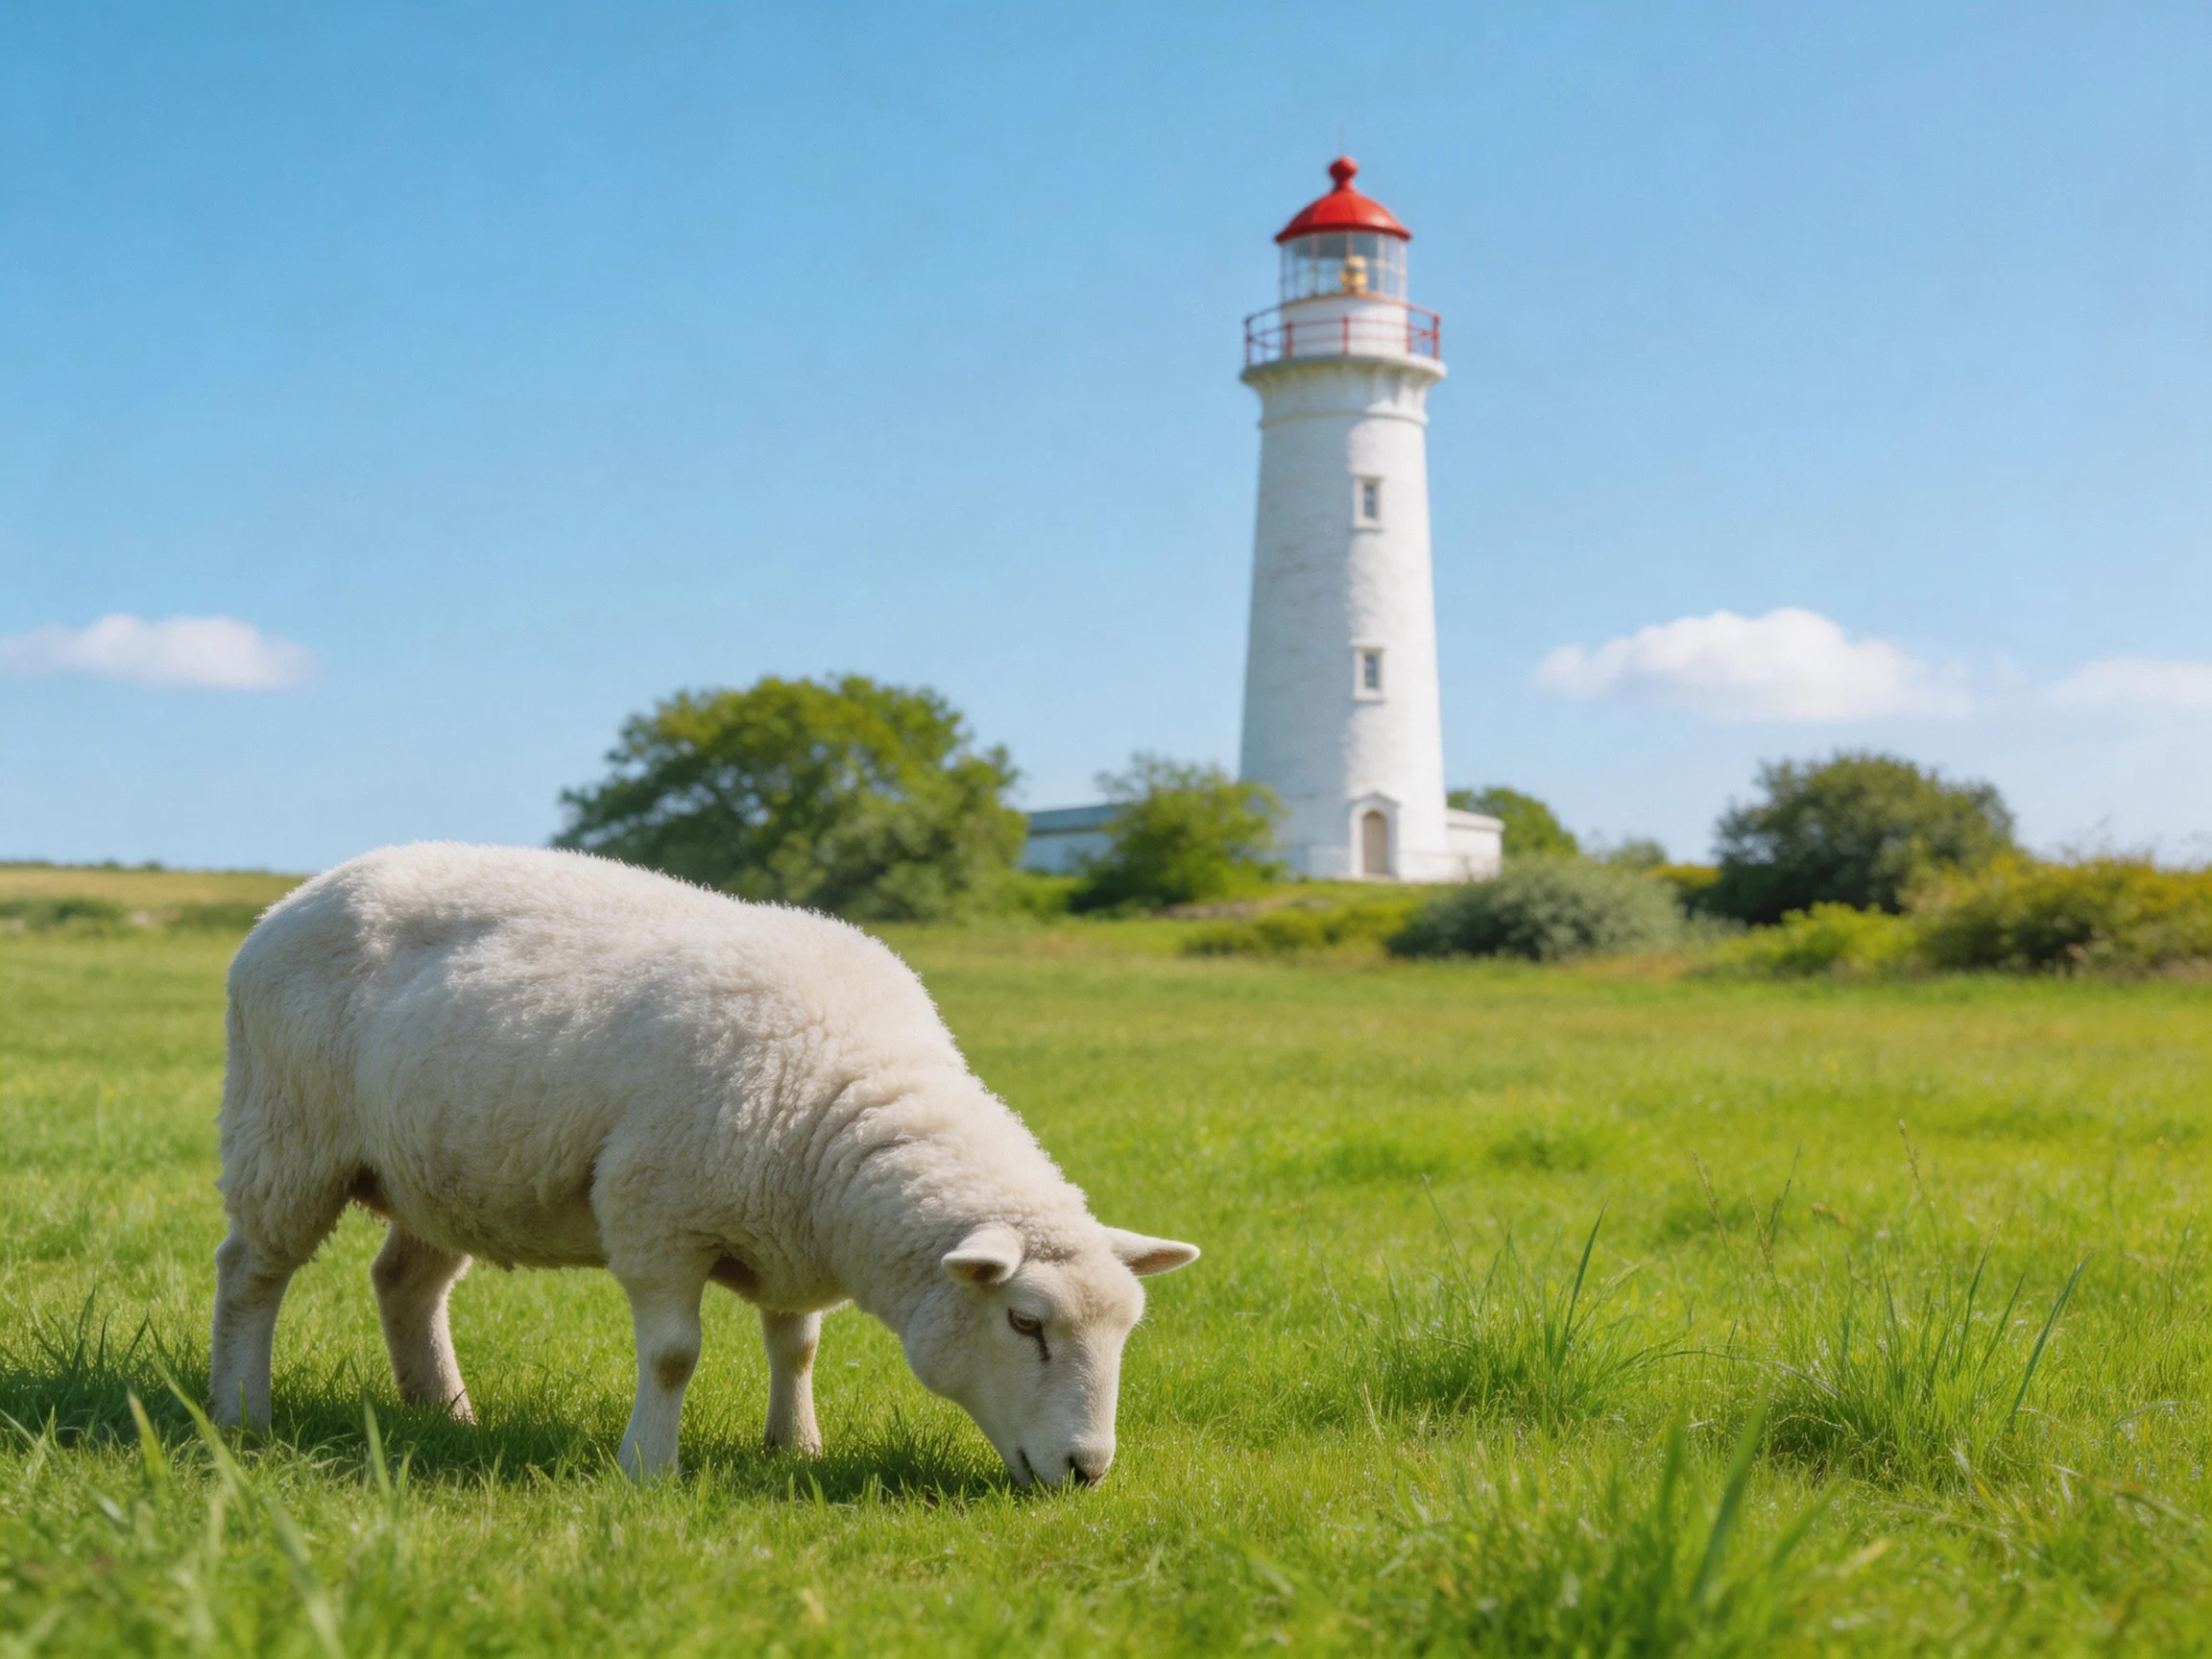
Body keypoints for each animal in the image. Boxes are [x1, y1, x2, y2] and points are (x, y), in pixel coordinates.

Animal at [208, 842, 1197, 1484]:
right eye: (1026, 1323)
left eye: (1127, 1331)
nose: (1087, 1469)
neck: (842, 1095)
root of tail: (297, 896)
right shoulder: (657, 1214)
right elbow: (675, 1355)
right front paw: (649, 1468)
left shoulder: (791, 1234)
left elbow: (797, 1346)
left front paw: (796, 1445)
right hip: (285, 1135)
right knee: (250, 1273)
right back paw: (240, 1412)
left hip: (444, 1164)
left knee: (404, 1285)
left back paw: (443, 1412)